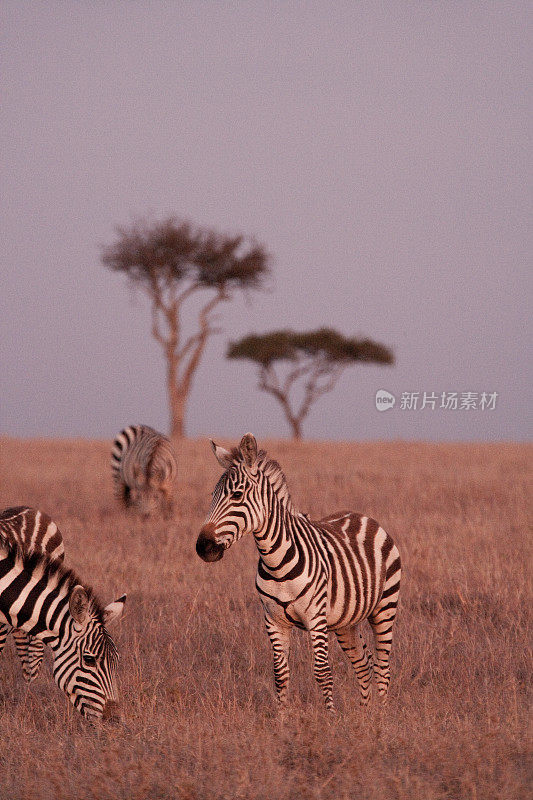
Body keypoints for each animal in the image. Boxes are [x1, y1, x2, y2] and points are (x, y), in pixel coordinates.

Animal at [197, 438, 402, 712]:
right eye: (212, 496)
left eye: (237, 495)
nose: (203, 547)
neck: (276, 563)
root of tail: (363, 516)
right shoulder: (273, 620)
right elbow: (280, 674)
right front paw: (281, 718)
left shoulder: (315, 617)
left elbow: (322, 671)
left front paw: (330, 717)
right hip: (345, 621)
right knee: (363, 662)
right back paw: (365, 713)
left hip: (385, 607)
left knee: (382, 666)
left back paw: (382, 714)